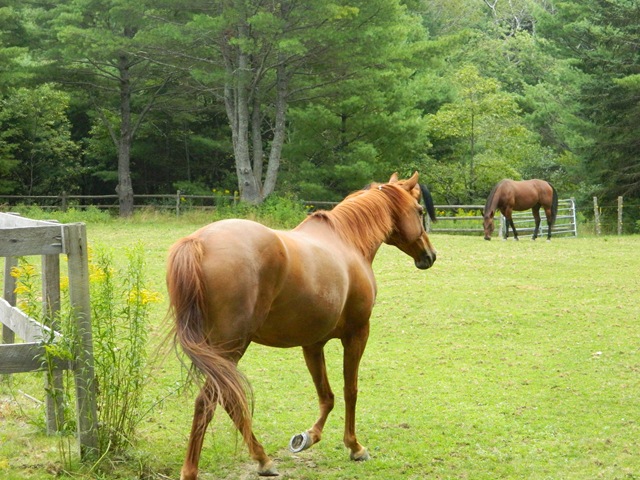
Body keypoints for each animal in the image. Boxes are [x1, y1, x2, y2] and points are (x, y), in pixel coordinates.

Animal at [166, 172, 437, 479]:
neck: (347, 241)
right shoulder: (357, 334)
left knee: (228, 400)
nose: (430, 255)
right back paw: (196, 469)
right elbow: (350, 390)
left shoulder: (312, 343)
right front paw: (355, 447)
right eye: (420, 211)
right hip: (230, 347)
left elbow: (326, 395)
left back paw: (263, 460)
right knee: (209, 401)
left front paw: (308, 437)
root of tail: (197, 242)